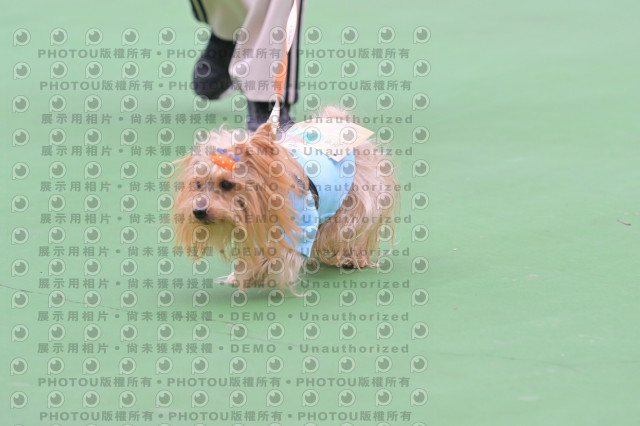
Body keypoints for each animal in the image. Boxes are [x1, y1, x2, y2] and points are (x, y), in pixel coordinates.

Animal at [171, 107, 399, 292]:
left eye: (227, 184)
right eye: (198, 184)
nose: (198, 212)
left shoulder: (300, 222)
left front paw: (258, 272)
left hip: (359, 196)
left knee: (352, 225)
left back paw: (352, 257)